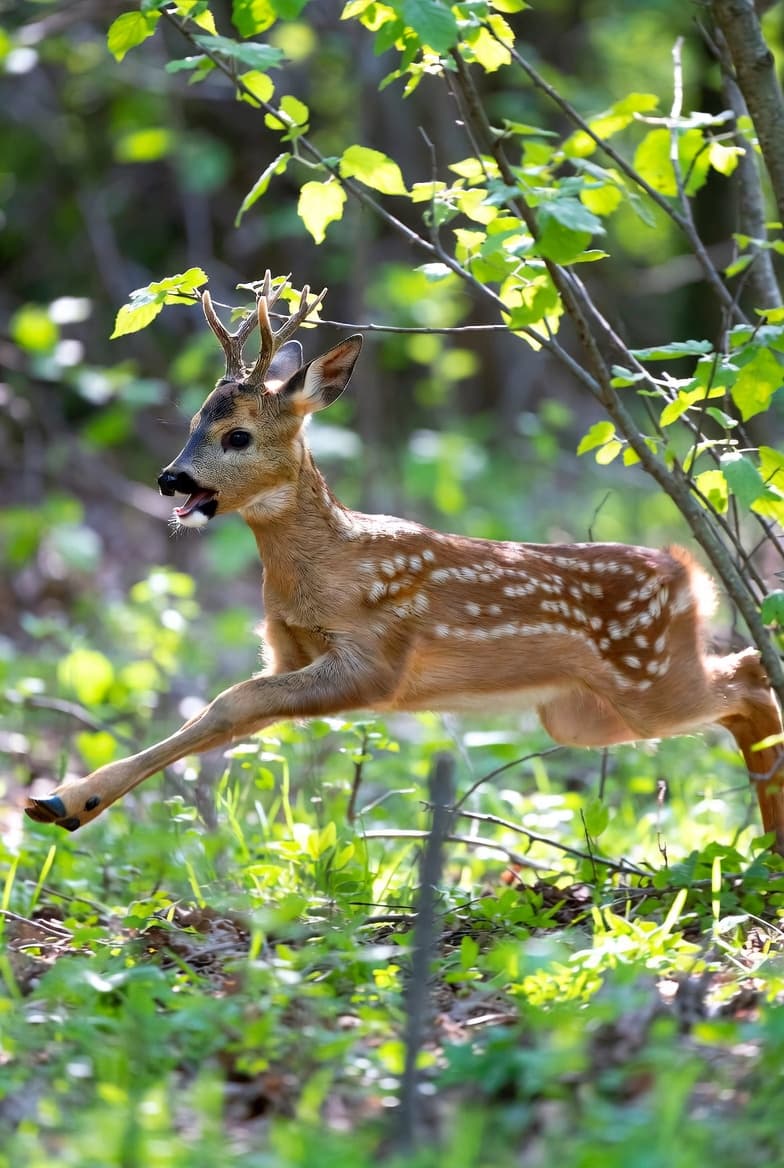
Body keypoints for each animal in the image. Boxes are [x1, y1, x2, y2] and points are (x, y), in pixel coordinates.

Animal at [25, 273, 784, 850]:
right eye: (190, 425)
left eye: (236, 435)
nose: (170, 479)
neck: (324, 569)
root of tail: (687, 573)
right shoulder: (290, 653)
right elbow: (224, 715)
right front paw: (61, 802)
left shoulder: (378, 658)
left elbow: (228, 700)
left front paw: (64, 799)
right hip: (578, 713)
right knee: (739, 688)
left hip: (647, 676)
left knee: (749, 676)